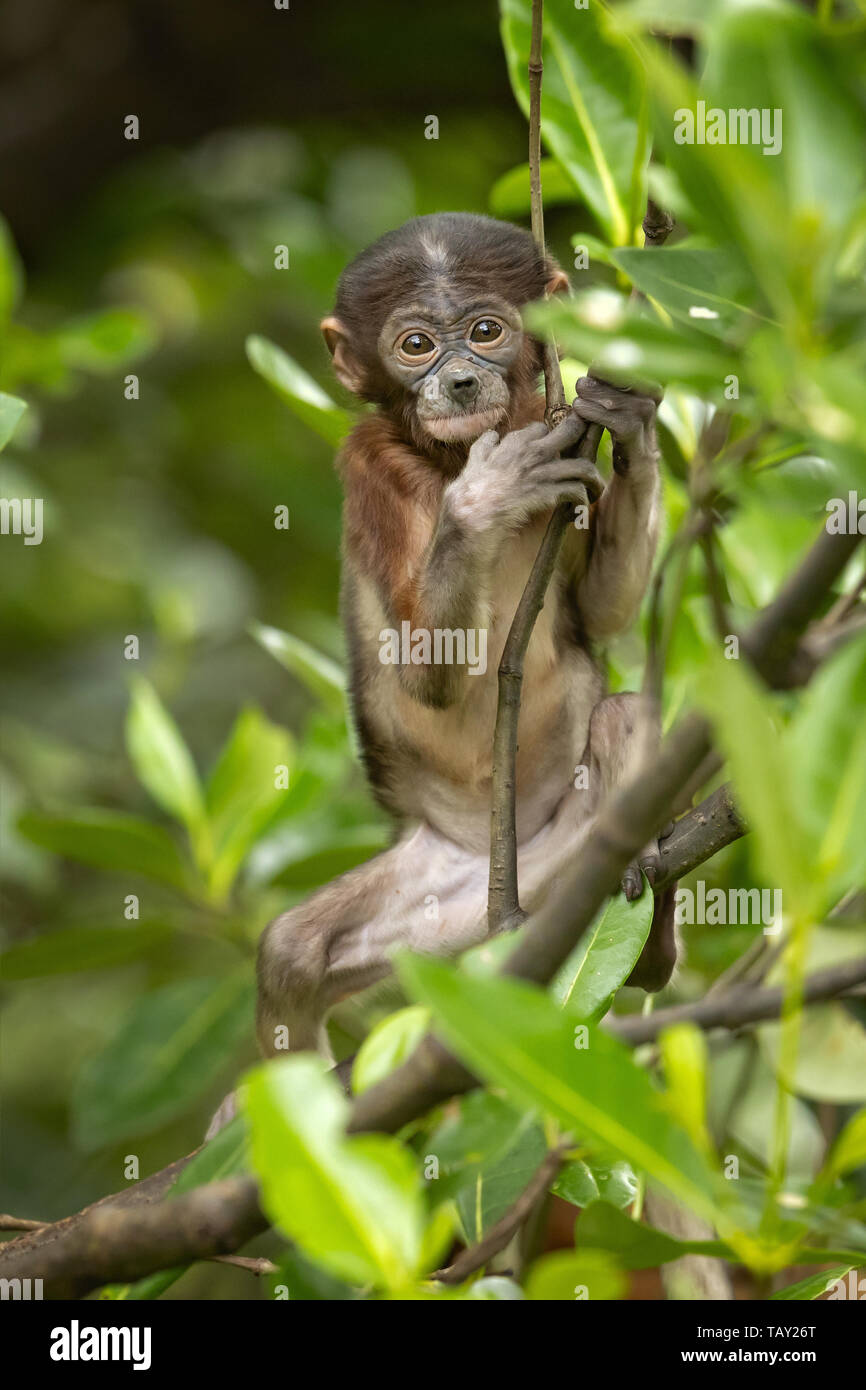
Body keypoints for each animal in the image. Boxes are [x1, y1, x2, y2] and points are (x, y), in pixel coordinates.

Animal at [256, 212, 677, 1061]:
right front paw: (487, 499)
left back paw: (649, 927)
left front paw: (630, 415)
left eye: (486, 332)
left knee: (622, 716)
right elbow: (429, 671)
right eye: (416, 345)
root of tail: (502, 880)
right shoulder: (372, 467)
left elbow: (602, 610)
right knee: (291, 951)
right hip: (434, 901)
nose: (456, 381)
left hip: (555, 858)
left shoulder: (558, 429)